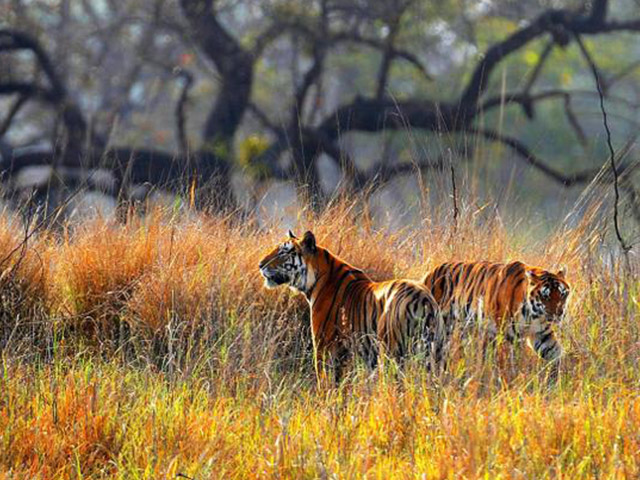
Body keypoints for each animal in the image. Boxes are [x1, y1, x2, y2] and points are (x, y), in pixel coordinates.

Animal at [258, 230, 442, 382]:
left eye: (283, 252)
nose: (260, 265)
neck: (315, 280)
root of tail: (422, 298)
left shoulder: (324, 348)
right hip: (434, 352)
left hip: (392, 351)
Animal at [424, 260, 568, 376]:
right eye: (546, 296)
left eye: (562, 294)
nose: (559, 313)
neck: (534, 315)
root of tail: (430, 272)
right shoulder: (509, 335)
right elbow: (512, 359)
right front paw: (514, 375)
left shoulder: (542, 333)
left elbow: (555, 352)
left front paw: (559, 378)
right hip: (439, 328)